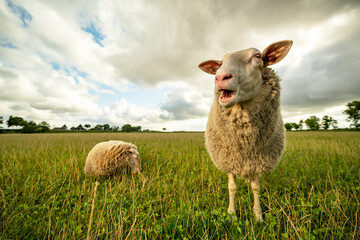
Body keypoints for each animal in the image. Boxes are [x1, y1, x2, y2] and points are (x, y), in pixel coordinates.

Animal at [198, 39, 294, 221]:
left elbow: (256, 187)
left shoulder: (257, 161)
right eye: (220, 63)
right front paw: (231, 214)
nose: (220, 77)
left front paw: (258, 216)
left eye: (257, 56)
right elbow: (232, 187)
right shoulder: (229, 160)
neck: (245, 141)